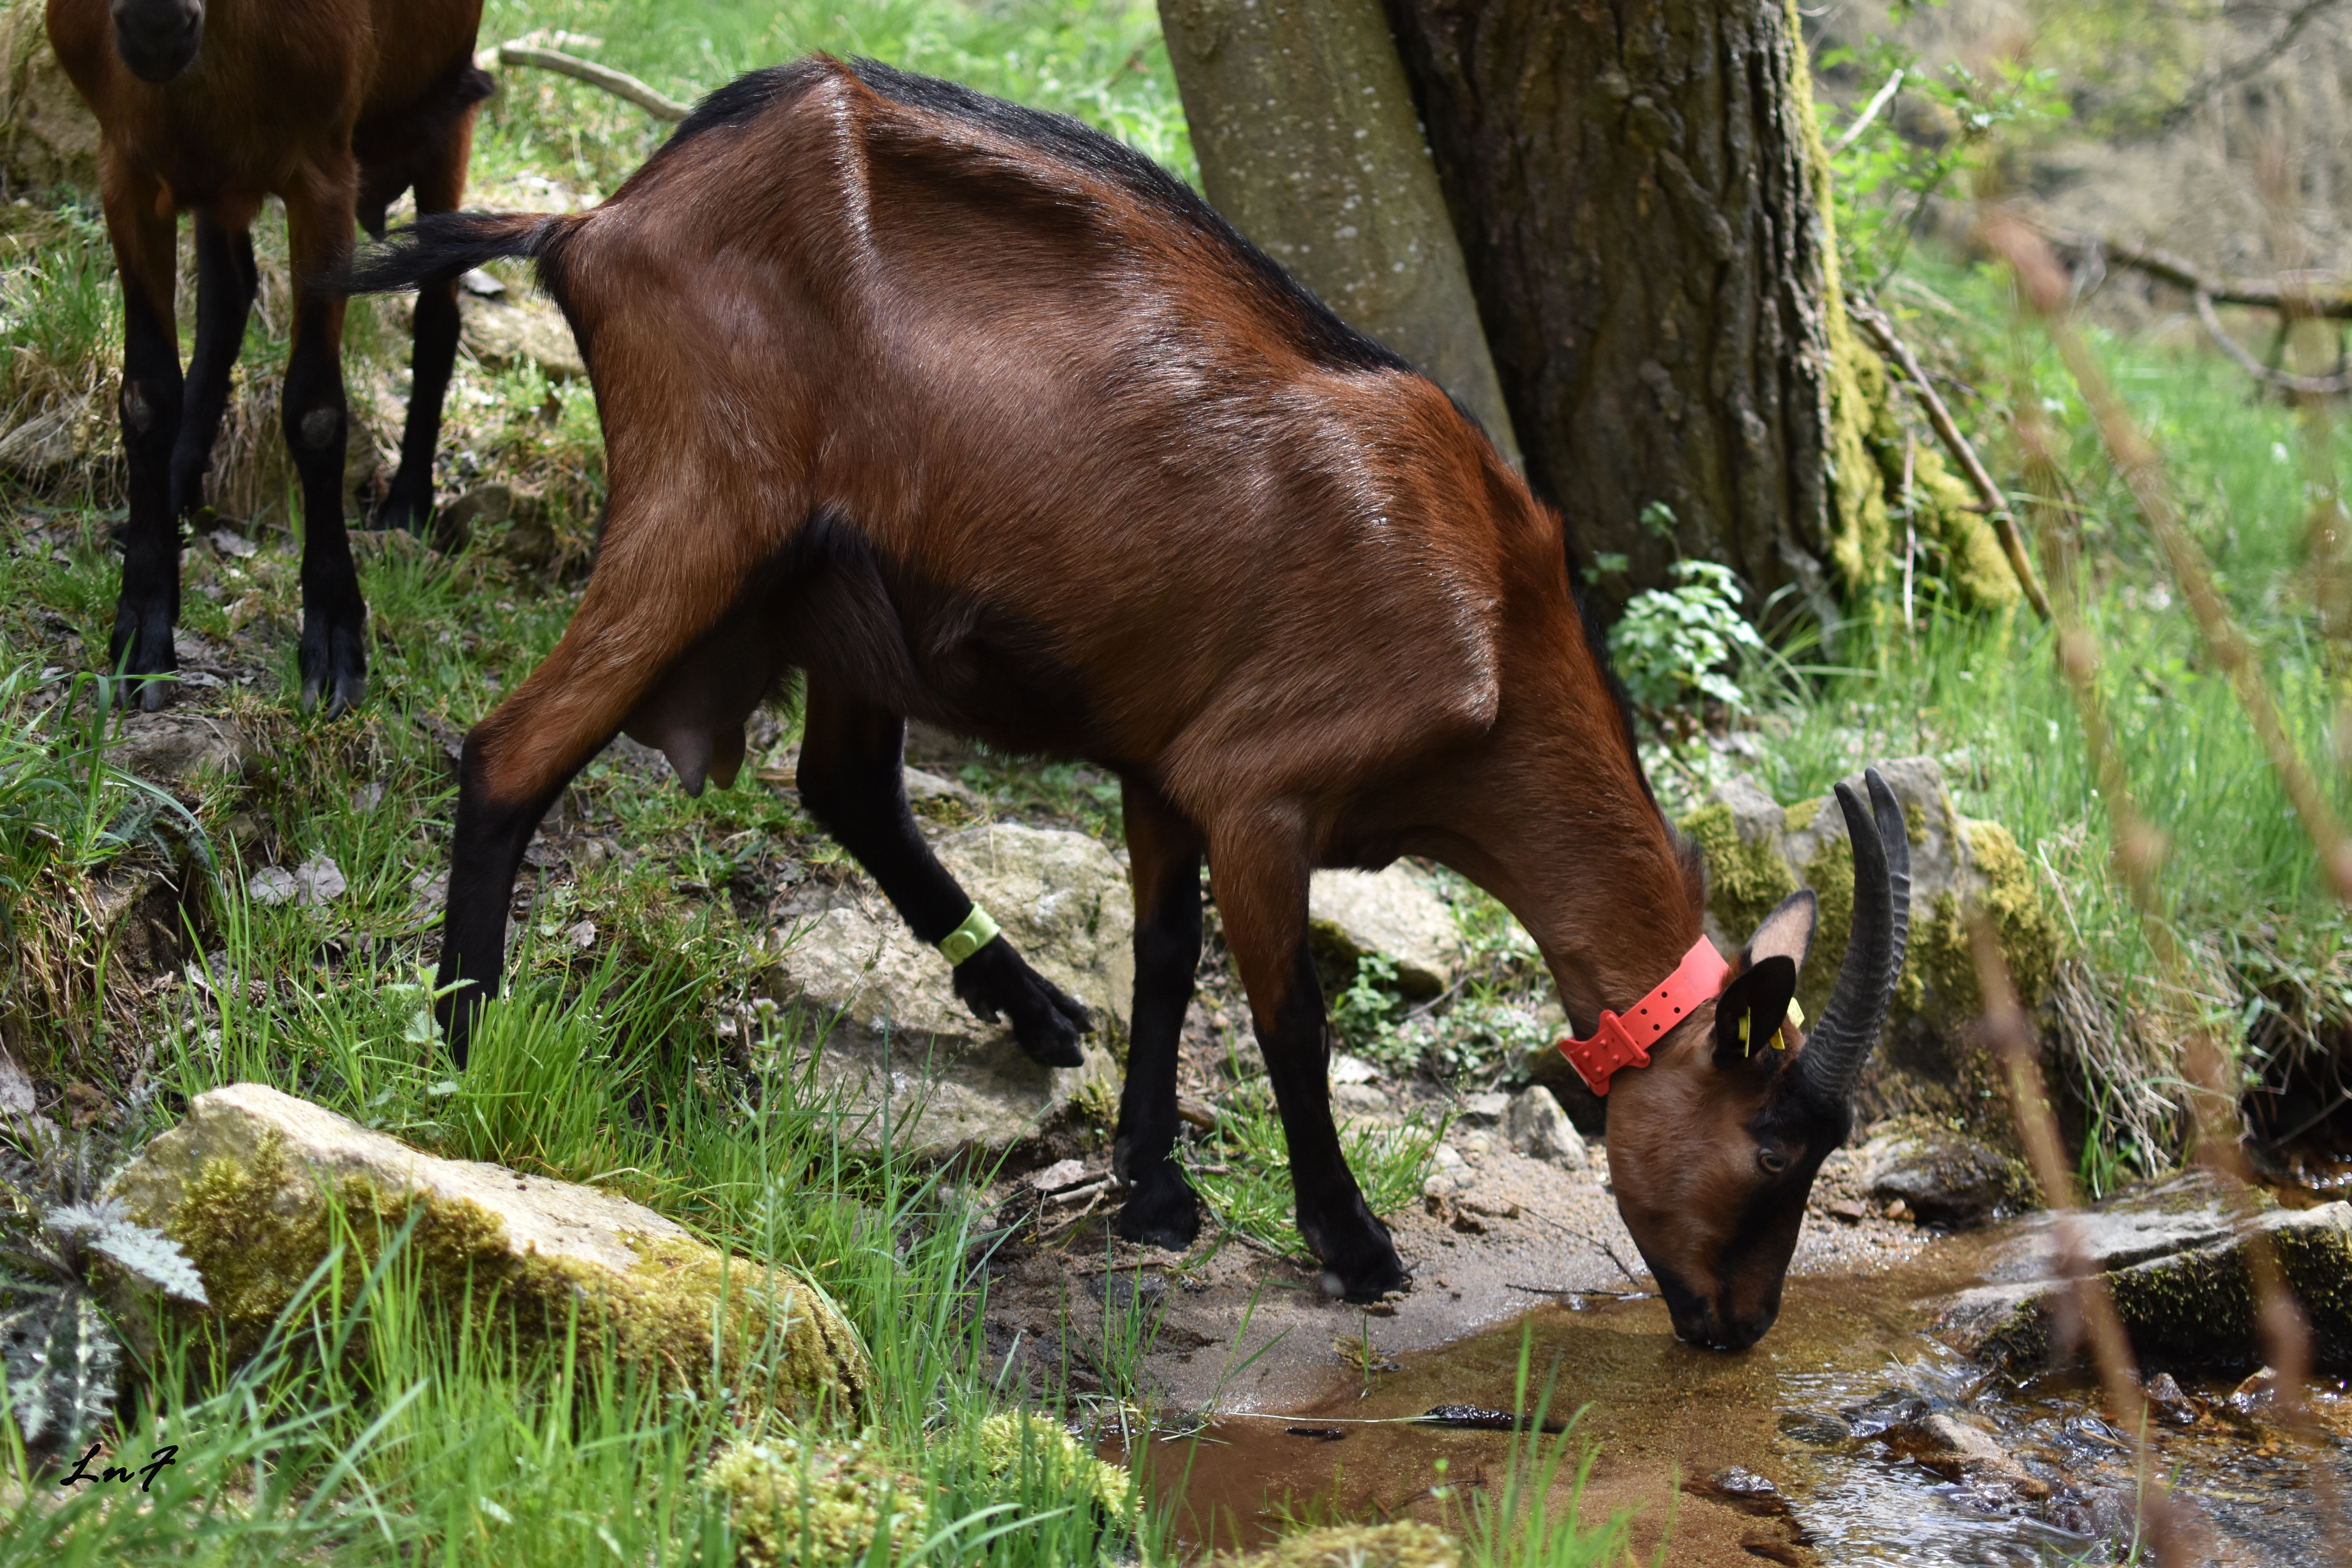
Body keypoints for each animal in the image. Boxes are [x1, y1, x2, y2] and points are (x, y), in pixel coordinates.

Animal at [51, 0, 494, 719]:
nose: (156, 23)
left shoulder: (324, 171)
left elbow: (314, 410)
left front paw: (335, 641)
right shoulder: (127, 165)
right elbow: (147, 395)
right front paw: (142, 632)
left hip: (448, 115)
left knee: (437, 315)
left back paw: (408, 507)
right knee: (229, 294)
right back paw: (176, 491)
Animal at [343, 55, 1910, 1345]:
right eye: (1776, 1144)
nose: (1737, 1328)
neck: (1491, 621)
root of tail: (593, 222)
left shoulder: (1168, 759)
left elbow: (1162, 954)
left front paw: (1151, 1184)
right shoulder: (1262, 791)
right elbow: (1287, 1017)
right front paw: (1350, 1240)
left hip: (845, 597)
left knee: (843, 783)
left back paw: (1032, 1009)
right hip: (703, 506)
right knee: (509, 751)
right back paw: (468, 1050)